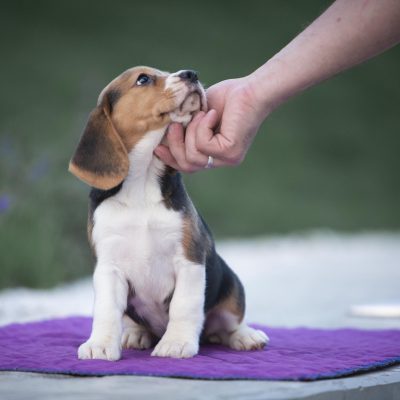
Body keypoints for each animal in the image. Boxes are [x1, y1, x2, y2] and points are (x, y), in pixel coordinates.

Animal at [69, 65, 268, 360]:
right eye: (143, 79)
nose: (192, 74)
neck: (142, 185)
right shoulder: (108, 267)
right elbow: (106, 310)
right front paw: (100, 345)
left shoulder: (189, 258)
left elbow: (183, 306)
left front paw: (176, 343)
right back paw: (135, 334)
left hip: (231, 286)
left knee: (230, 323)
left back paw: (246, 336)